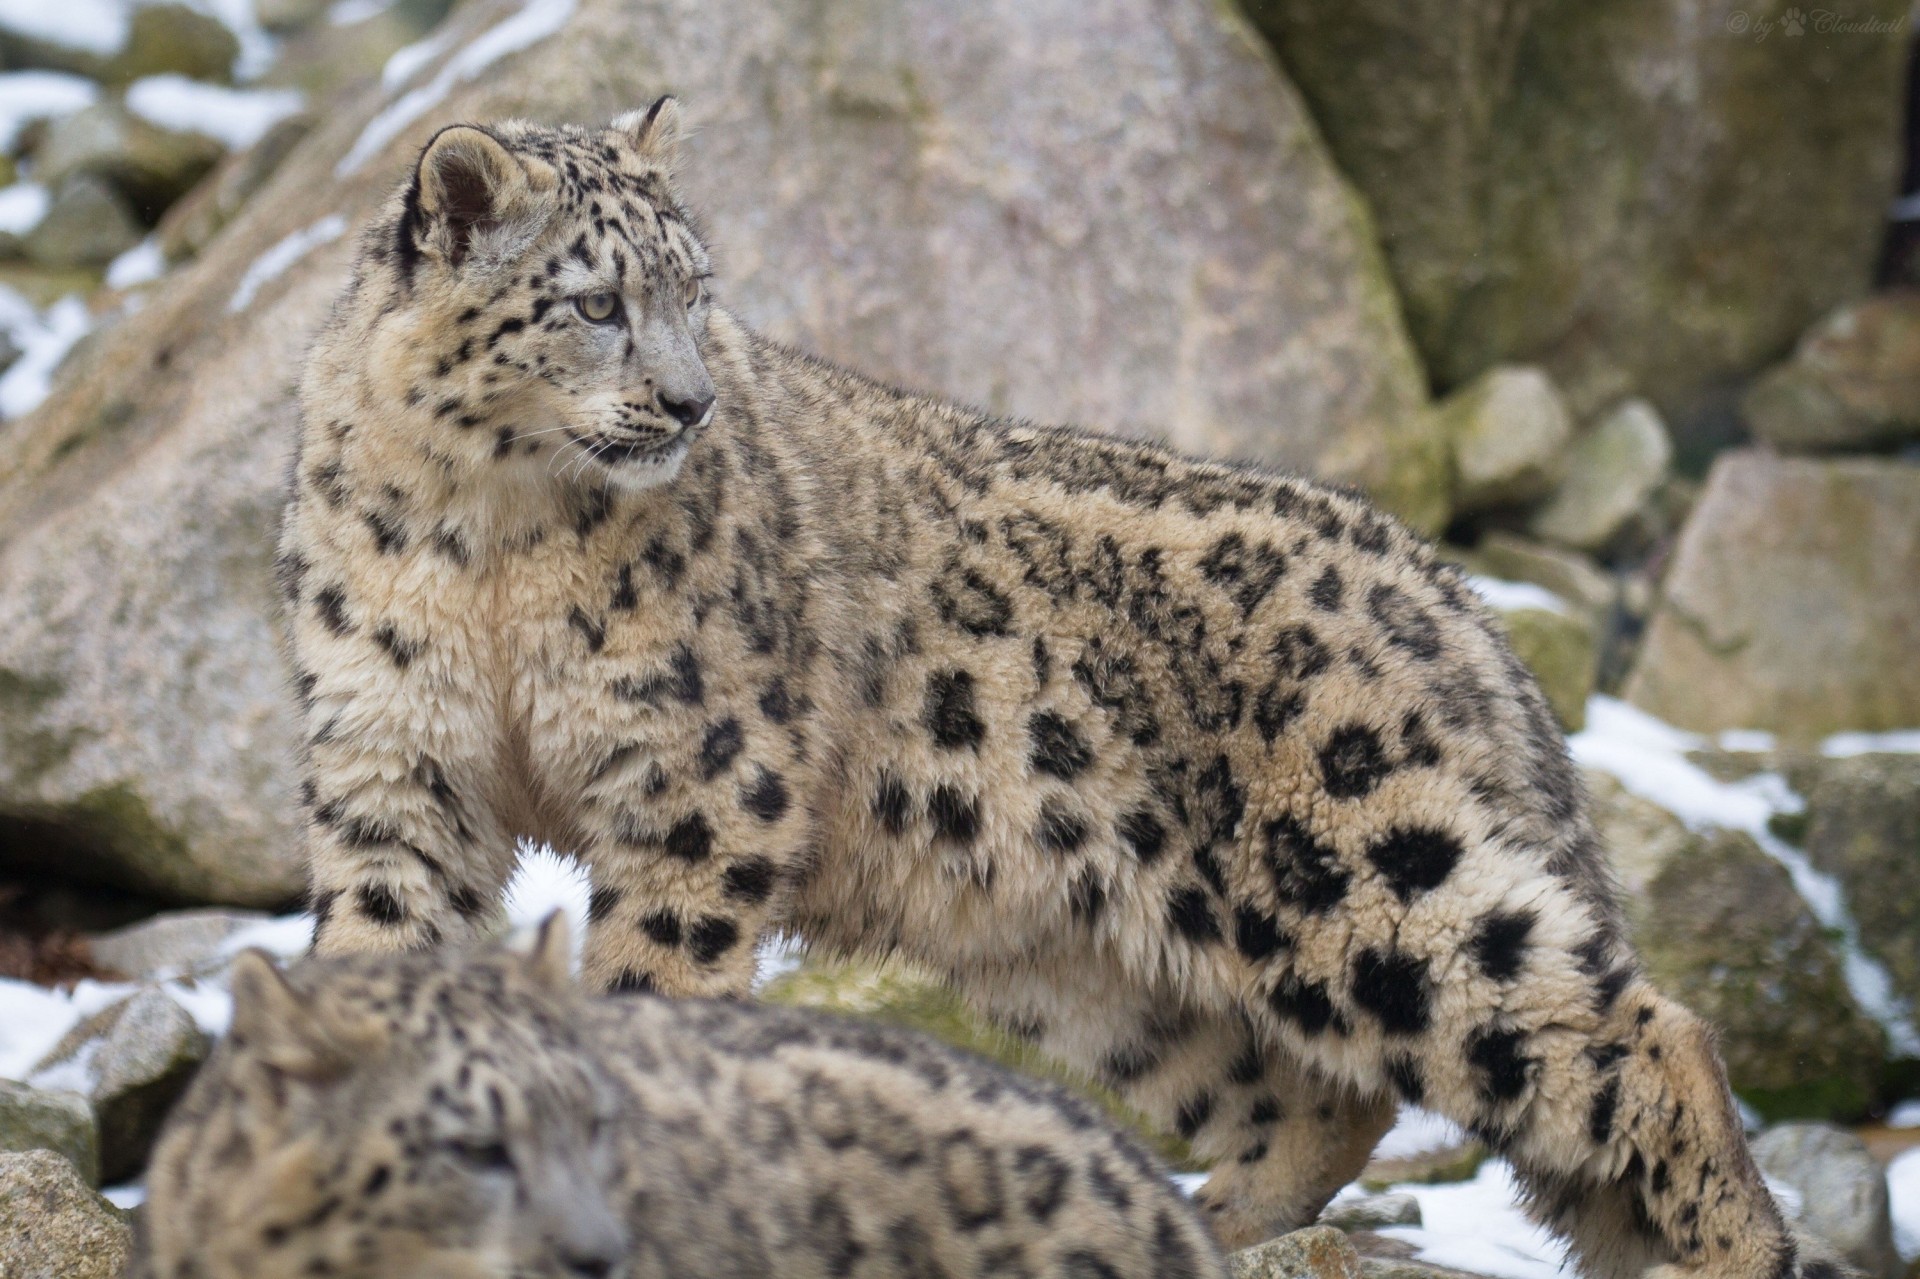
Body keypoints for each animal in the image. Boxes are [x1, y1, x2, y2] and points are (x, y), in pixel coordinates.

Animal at [278, 98, 1832, 1279]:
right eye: (597, 303)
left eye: (698, 296)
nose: (688, 401)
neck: (486, 541)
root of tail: (1449, 593)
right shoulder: (392, 760)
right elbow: (383, 950)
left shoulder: (697, 778)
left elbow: (656, 979)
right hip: (1090, 963)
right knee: (1320, 1088)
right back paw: (1217, 1222)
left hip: (1357, 866)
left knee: (1623, 1029)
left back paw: (1727, 1248)